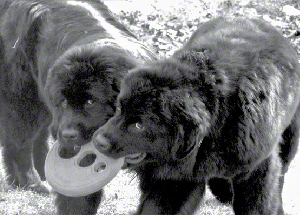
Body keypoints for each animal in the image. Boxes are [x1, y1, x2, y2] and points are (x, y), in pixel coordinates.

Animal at [0, 0, 157, 215]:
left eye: (91, 102)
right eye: (65, 102)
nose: (68, 135)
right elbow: (78, 197)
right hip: (25, 99)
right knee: (20, 142)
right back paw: (30, 182)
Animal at [94, 17, 300, 215]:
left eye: (139, 125)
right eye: (119, 109)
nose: (98, 141)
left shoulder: (257, 169)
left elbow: (257, 205)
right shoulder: (176, 178)